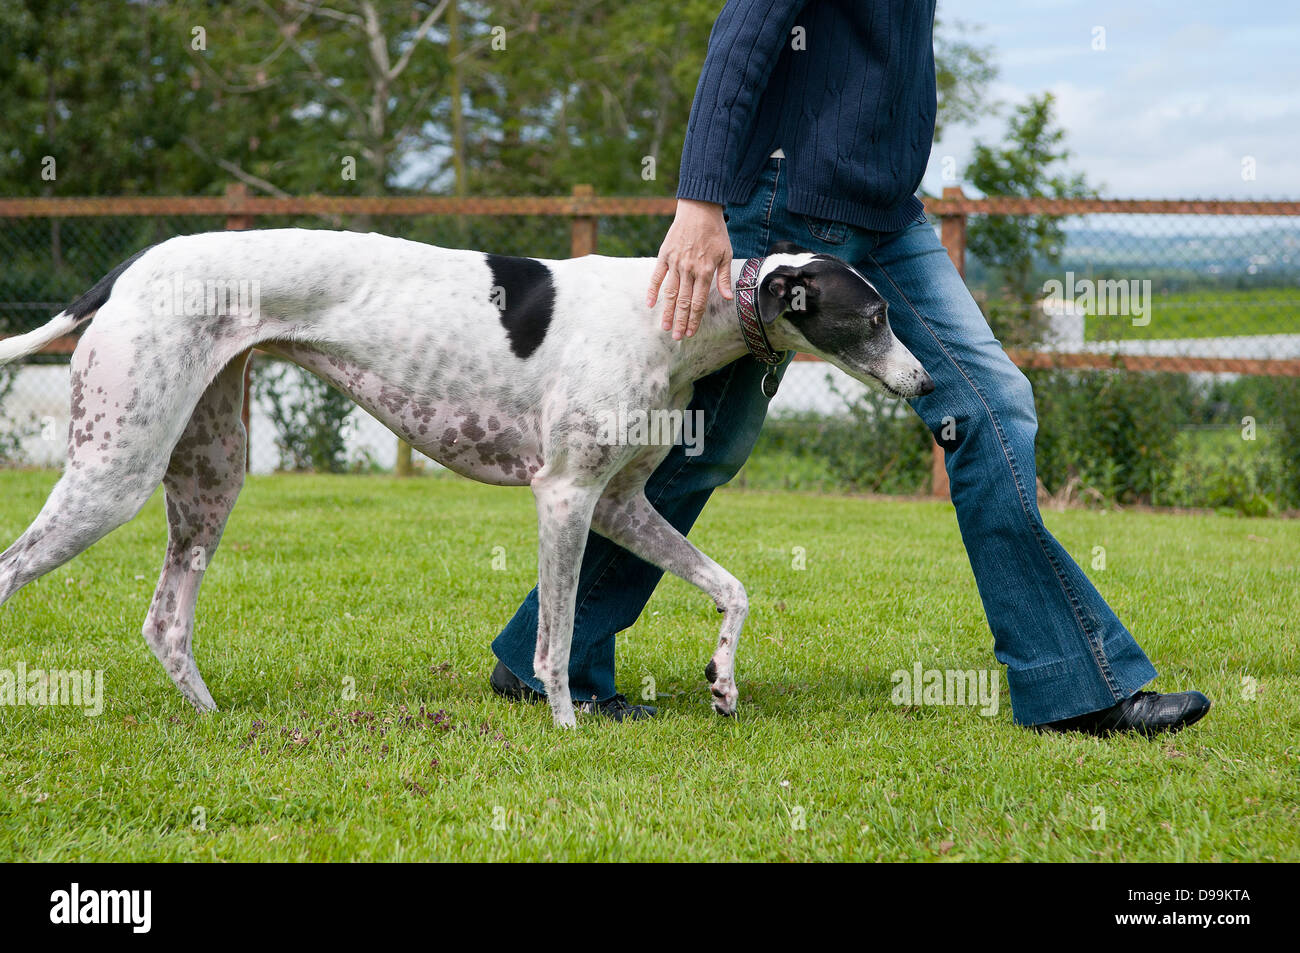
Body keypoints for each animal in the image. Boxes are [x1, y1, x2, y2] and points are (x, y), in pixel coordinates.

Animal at [2, 228, 935, 722]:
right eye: (876, 315)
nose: (928, 383)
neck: (676, 314)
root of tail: (134, 265)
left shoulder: (622, 505)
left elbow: (731, 587)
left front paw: (723, 679)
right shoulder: (565, 497)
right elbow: (554, 641)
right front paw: (567, 726)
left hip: (208, 475)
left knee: (165, 621)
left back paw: (209, 717)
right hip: (113, 471)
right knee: (16, 567)